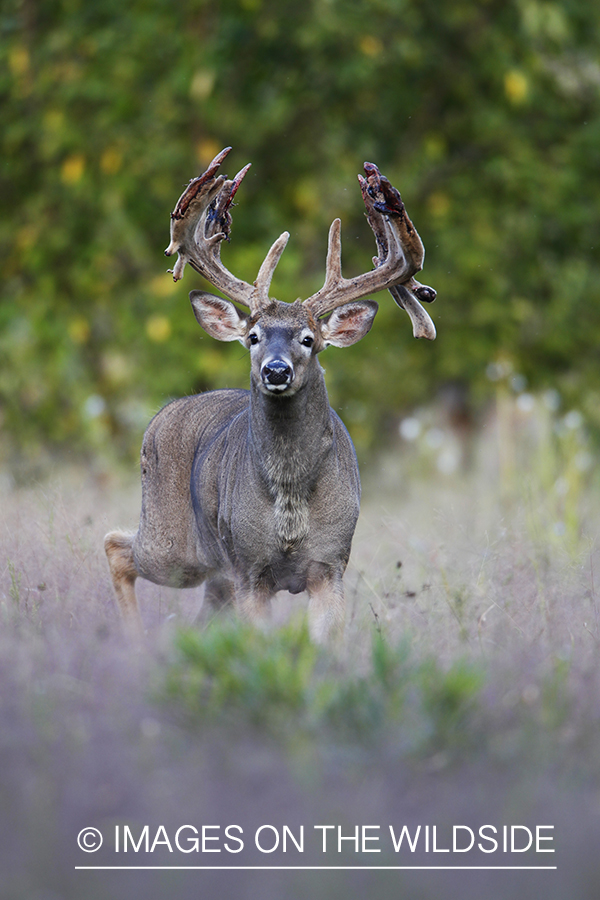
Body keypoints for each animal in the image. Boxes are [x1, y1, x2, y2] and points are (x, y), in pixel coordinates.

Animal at [105, 146, 436, 640]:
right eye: (253, 336)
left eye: (309, 339)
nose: (276, 371)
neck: (290, 509)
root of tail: (161, 415)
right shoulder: (249, 568)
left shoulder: (331, 565)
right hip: (176, 541)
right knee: (117, 546)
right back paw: (135, 643)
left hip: (208, 567)